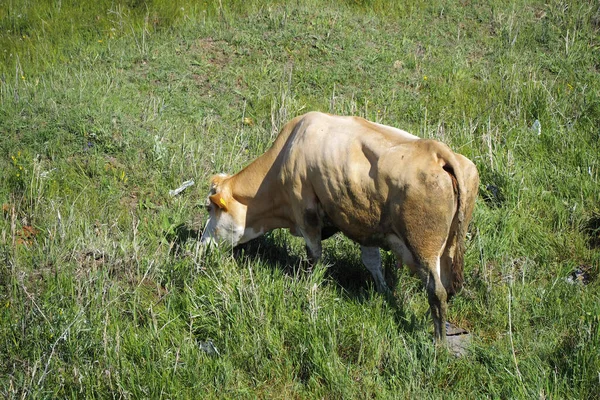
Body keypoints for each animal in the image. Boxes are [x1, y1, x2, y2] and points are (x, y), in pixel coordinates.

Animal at [200, 111, 478, 342]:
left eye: (210, 208)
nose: (202, 247)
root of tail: (437, 151)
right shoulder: (365, 226)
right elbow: (372, 262)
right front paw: (384, 292)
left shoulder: (306, 212)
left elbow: (314, 255)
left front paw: (309, 284)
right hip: (450, 247)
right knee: (448, 287)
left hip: (424, 247)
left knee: (437, 292)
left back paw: (439, 343)